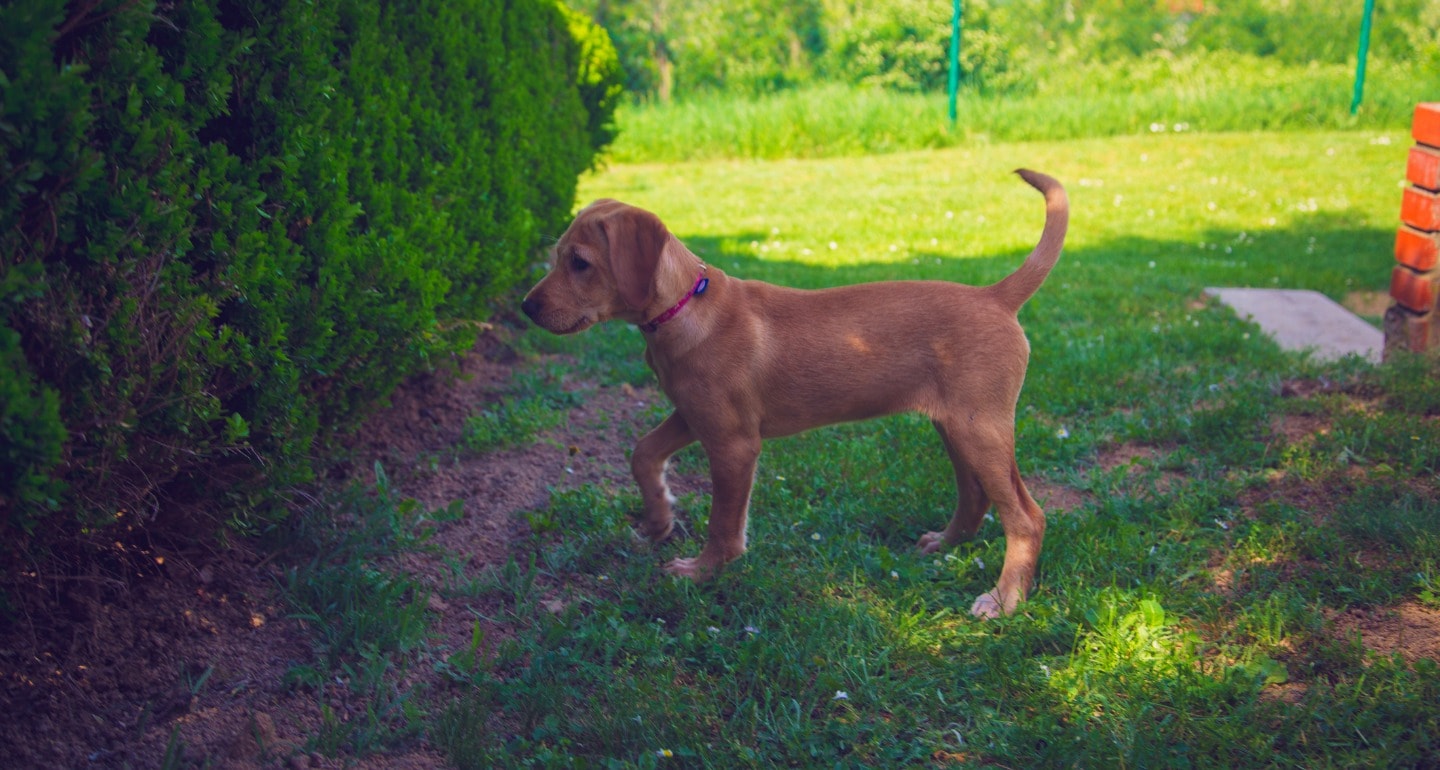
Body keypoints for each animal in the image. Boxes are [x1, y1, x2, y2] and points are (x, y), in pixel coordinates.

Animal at [524, 170, 1065, 621]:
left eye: (580, 263)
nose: (526, 307)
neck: (684, 306)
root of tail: (995, 297)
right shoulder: (691, 414)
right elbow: (643, 453)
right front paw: (658, 519)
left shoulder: (733, 443)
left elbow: (723, 522)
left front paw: (702, 572)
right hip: (956, 426)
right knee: (976, 495)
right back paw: (944, 544)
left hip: (979, 428)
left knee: (1027, 517)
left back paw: (1004, 599)